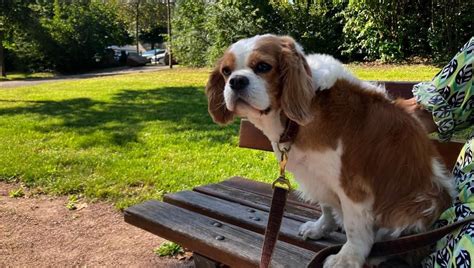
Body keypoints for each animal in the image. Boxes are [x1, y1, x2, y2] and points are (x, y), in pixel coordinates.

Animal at [205, 34, 456, 266]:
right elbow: (326, 206)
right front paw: (321, 228)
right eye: (226, 71)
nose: (236, 81)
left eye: (263, 67)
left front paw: (347, 258)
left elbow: (356, 229)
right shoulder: (317, 174)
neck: (298, 118)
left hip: (415, 206)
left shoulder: (353, 186)